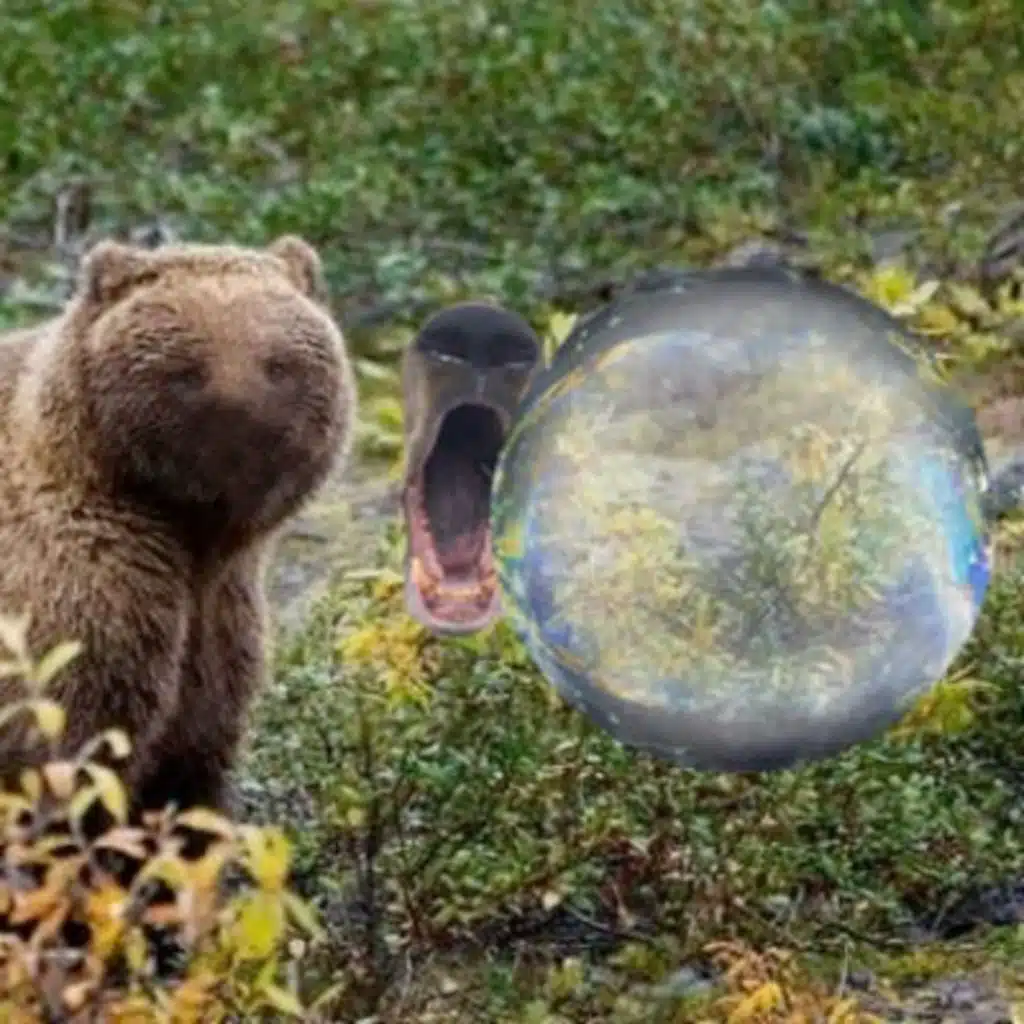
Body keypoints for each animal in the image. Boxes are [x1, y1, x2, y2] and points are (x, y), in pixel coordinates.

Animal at [0, 234, 356, 815]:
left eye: (278, 366)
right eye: (187, 371)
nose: (241, 447)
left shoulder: (218, 622)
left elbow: (190, 768)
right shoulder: (82, 603)